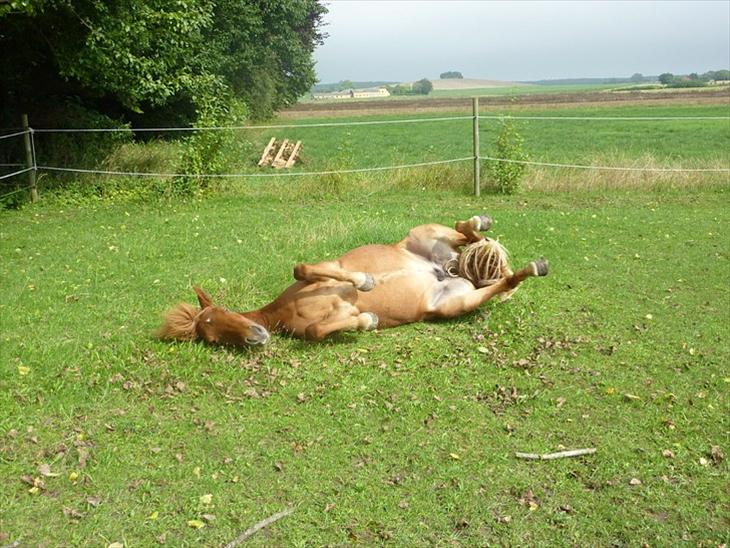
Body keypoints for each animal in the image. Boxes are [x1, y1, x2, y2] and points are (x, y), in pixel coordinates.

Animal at [156, 214, 548, 346]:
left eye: (225, 311)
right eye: (214, 339)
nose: (256, 337)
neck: (284, 310)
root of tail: (456, 270)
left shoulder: (327, 265)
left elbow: (303, 268)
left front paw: (364, 283)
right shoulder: (317, 326)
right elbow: (317, 330)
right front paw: (368, 319)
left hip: (422, 235)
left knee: (465, 230)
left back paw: (483, 223)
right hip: (457, 302)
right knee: (503, 280)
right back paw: (533, 266)